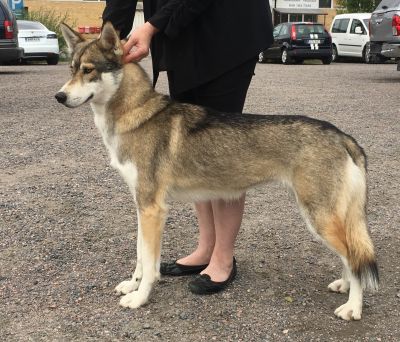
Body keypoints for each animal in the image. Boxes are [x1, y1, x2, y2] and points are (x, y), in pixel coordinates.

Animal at [55, 22, 378, 320]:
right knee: (351, 259)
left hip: (319, 218)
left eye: (88, 70)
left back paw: (353, 308)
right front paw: (131, 285)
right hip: (329, 218)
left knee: (356, 260)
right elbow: (139, 257)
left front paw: (140, 298)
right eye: (71, 69)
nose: (59, 96)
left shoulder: (152, 210)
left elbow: (149, 265)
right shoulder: (141, 207)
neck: (135, 116)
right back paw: (344, 287)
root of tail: (342, 136)